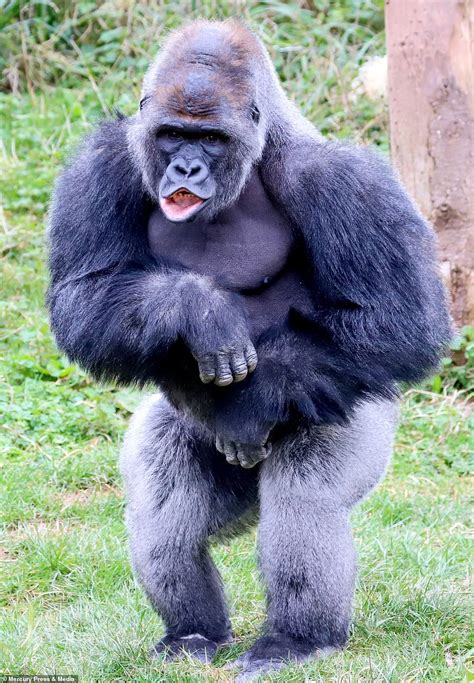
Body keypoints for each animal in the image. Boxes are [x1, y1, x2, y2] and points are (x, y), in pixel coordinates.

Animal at [48, 18, 452, 683]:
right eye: (173, 134)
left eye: (210, 139)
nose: (187, 168)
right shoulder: (101, 163)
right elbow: (84, 294)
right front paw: (198, 307)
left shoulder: (343, 180)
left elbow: (398, 317)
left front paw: (254, 402)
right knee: (165, 505)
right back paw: (192, 631)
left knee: (304, 498)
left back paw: (297, 639)